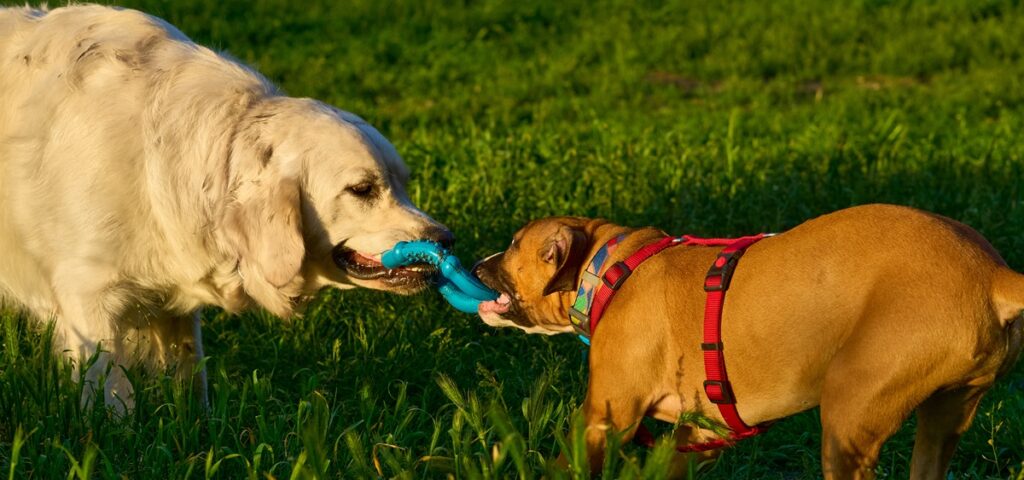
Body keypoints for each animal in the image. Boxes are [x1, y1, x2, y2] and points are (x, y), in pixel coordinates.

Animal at [0, 5, 451, 410]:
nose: (445, 239)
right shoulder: (88, 296)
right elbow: (112, 398)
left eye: (404, 184)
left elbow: (190, 384)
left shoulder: (173, 308)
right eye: (362, 189)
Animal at [473, 204, 1024, 479]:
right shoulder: (700, 434)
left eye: (516, 245)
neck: (613, 268)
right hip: (944, 419)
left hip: (849, 415)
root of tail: (993, 274)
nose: (478, 265)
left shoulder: (604, 417)